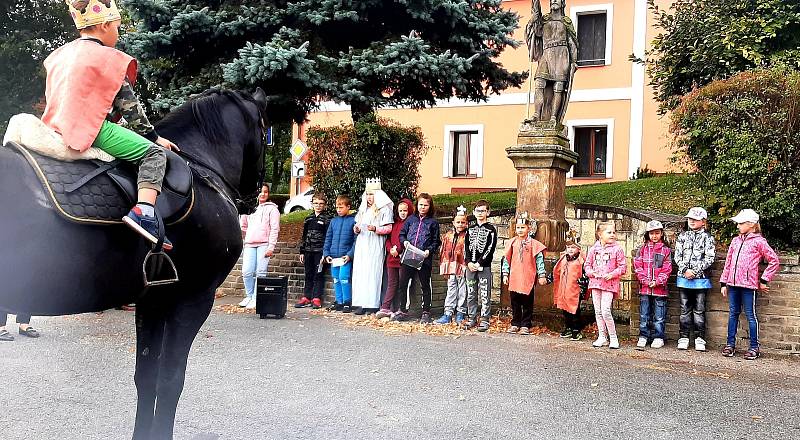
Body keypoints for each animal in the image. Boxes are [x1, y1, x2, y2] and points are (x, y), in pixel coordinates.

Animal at [0, 87, 268, 438]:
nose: (256, 197)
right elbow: (170, 382)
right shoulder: (193, 300)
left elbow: (147, 377)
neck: (203, 170)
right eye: (266, 134)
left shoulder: (153, 301)